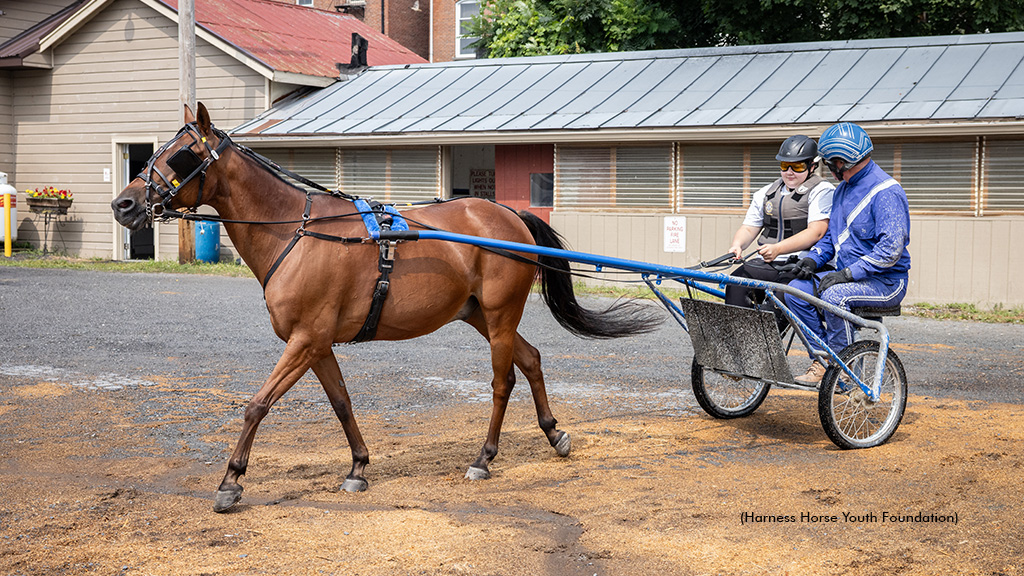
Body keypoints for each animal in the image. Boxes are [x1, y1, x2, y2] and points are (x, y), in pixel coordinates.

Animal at [111, 103, 659, 513]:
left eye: (182, 155)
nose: (124, 205)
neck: (296, 232)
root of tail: (507, 214)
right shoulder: (317, 343)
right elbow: (341, 402)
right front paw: (358, 466)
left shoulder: (305, 339)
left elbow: (257, 405)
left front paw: (231, 481)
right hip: (479, 314)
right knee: (531, 360)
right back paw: (554, 433)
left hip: (501, 314)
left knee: (504, 380)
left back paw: (484, 458)